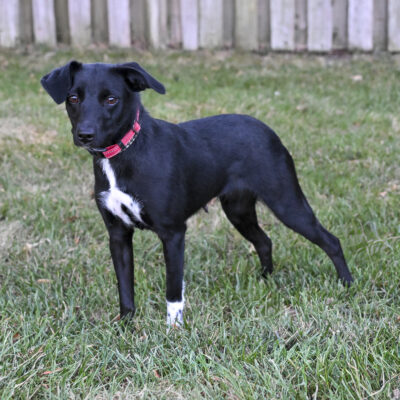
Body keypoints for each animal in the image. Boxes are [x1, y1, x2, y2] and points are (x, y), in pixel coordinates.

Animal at [41, 61, 354, 326]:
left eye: (111, 99)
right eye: (73, 98)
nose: (85, 135)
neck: (125, 152)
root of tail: (267, 129)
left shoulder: (173, 233)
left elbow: (173, 290)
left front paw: (173, 330)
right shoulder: (118, 234)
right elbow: (125, 286)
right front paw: (126, 325)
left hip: (287, 202)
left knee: (331, 241)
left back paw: (347, 284)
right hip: (238, 210)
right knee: (265, 241)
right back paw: (265, 279)